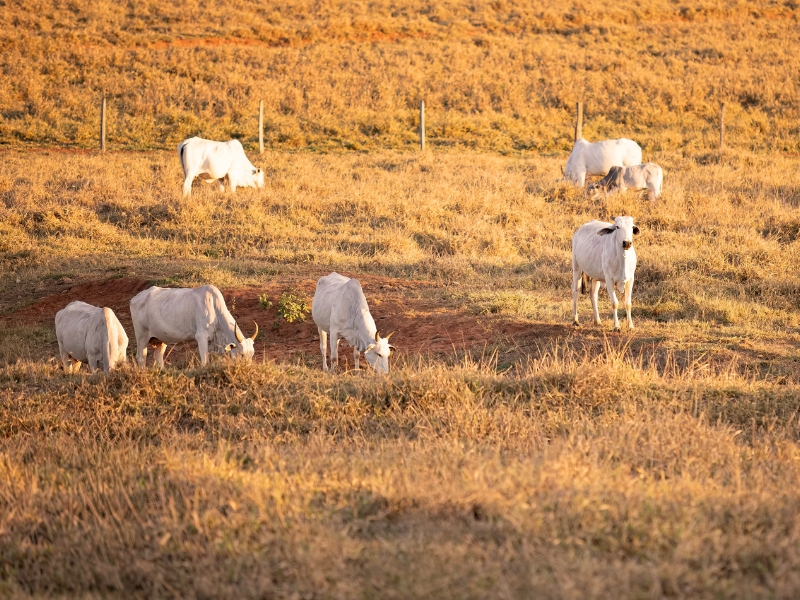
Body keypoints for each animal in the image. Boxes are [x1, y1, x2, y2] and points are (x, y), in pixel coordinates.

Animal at [130, 284, 258, 368]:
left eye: (252, 355)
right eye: (242, 354)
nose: (247, 369)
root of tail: (135, 298)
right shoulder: (201, 337)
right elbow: (204, 362)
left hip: (161, 340)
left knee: (158, 358)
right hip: (141, 337)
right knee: (141, 357)